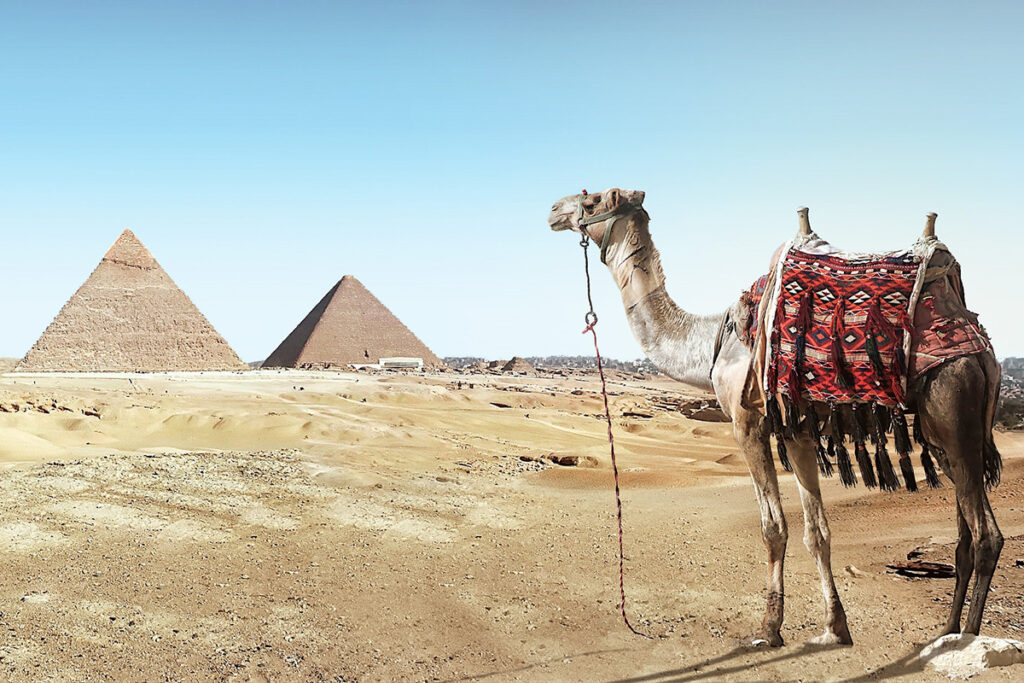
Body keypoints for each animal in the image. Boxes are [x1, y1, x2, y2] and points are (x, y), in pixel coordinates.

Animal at [548, 189, 1003, 651]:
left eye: (592, 201)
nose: (553, 210)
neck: (710, 341)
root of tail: (981, 350)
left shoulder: (746, 423)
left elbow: (773, 528)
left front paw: (769, 628)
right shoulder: (798, 430)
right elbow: (817, 532)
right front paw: (835, 627)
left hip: (954, 405)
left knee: (986, 536)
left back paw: (967, 638)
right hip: (944, 435)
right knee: (966, 537)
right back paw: (944, 633)